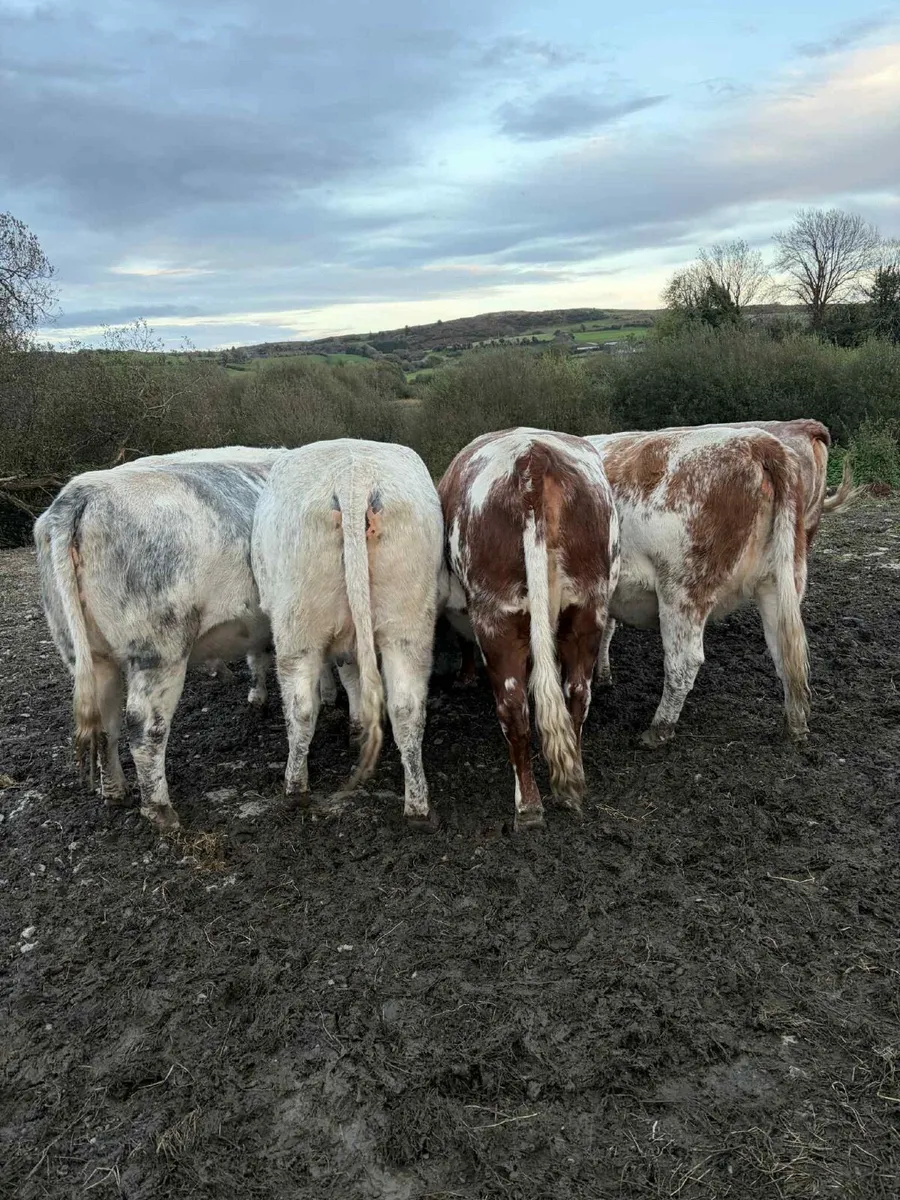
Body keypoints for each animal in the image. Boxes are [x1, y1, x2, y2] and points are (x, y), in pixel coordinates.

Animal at [34, 446, 296, 831]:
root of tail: (80, 494)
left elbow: (259, 655)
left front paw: (257, 697)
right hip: (159, 645)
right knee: (144, 725)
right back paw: (161, 811)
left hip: (82, 648)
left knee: (107, 723)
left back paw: (116, 793)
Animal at [251, 438, 445, 828]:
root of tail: (353, 476)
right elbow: (353, 673)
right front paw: (356, 723)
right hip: (408, 621)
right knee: (406, 707)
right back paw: (417, 805)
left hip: (297, 622)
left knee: (300, 707)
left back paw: (294, 788)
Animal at [438, 428, 619, 831]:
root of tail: (532, 460)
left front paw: (464, 676)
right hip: (587, 606)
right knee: (576, 695)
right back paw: (572, 781)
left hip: (496, 614)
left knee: (513, 706)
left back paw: (528, 804)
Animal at [585, 426, 812, 747]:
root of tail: (757, 442)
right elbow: (605, 630)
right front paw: (602, 675)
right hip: (781, 582)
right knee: (787, 654)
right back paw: (796, 727)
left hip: (683, 589)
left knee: (684, 662)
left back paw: (659, 729)